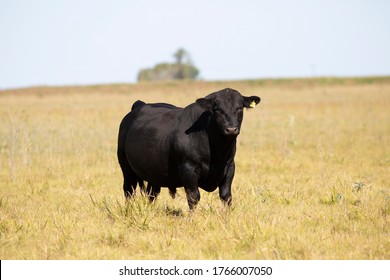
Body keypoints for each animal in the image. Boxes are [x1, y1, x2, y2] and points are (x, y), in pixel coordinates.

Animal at [117, 88, 260, 209]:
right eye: (217, 109)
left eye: (239, 108)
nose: (231, 129)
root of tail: (140, 105)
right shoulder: (188, 169)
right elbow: (193, 197)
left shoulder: (229, 167)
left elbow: (226, 195)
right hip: (126, 167)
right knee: (129, 190)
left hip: (154, 171)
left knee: (152, 193)